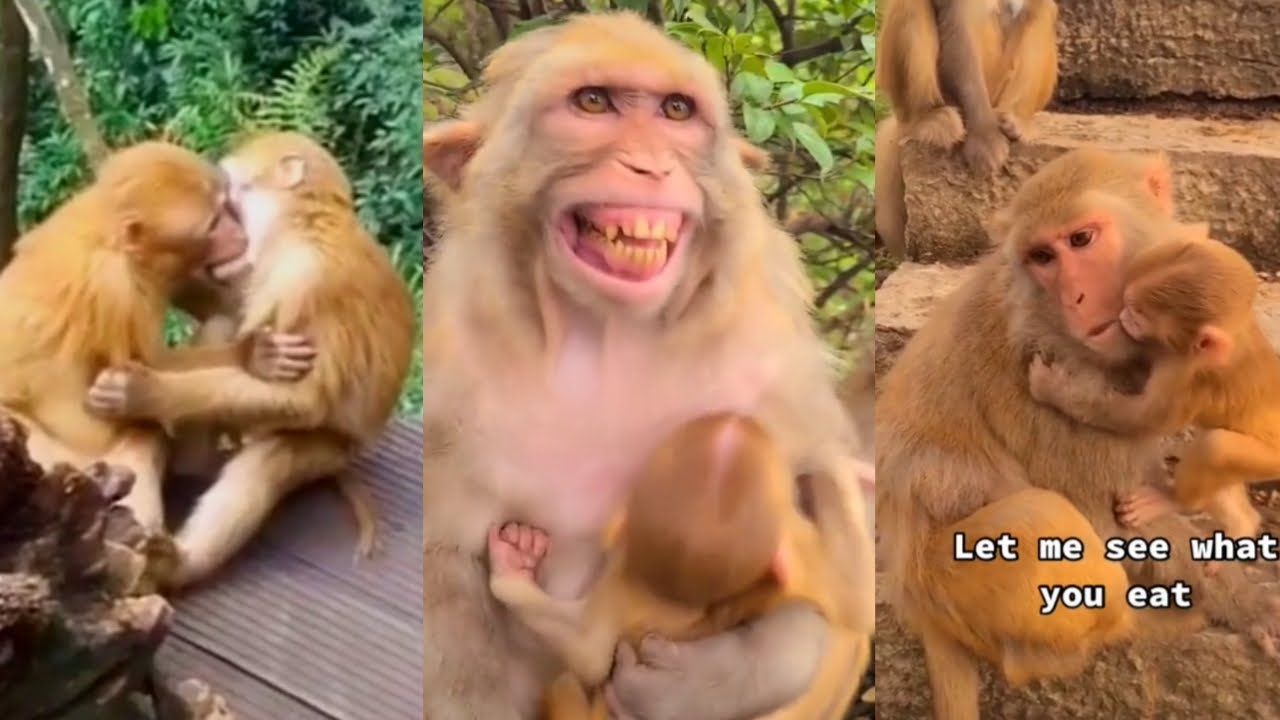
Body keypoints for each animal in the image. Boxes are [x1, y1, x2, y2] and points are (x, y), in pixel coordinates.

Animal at [82, 131, 415, 588]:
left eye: (232, 191)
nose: (226, 227)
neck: (302, 226)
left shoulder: (305, 278)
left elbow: (303, 401)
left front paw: (140, 393)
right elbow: (228, 305)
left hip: (329, 447)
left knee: (267, 461)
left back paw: (179, 563)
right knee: (222, 327)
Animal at [876, 0, 1059, 258]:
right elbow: (959, 17)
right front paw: (984, 141)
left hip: (997, 87)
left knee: (1042, 10)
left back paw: (1017, 118)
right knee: (911, 4)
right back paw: (926, 117)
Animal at [1025, 231, 1280, 541]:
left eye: (1137, 312)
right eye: (1127, 305)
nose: (1122, 315)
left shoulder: (1185, 376)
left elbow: (1143, 418)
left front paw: (1051, 387)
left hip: (1270, 457)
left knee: (1216, 448)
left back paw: (1174, 502)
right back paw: (1242, 525)